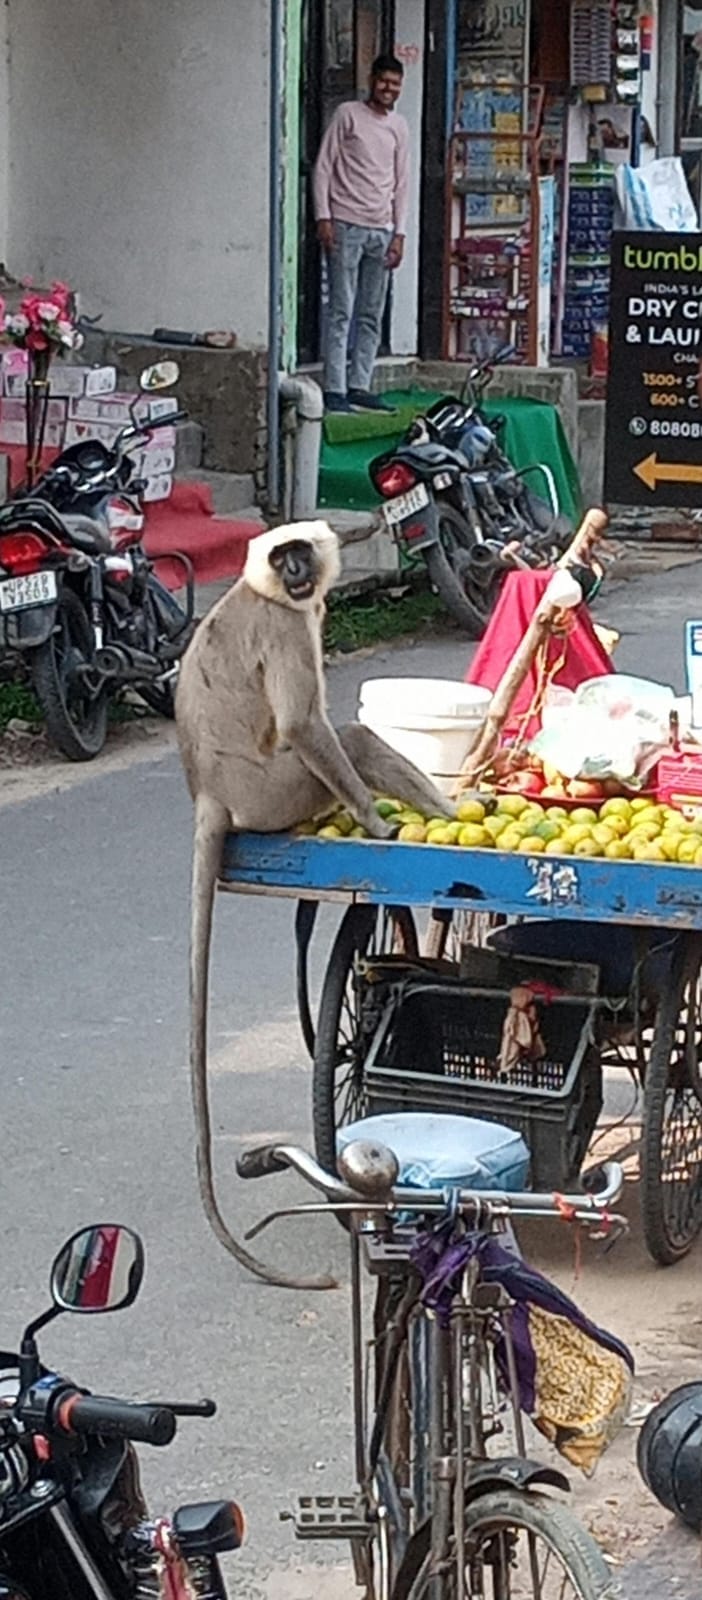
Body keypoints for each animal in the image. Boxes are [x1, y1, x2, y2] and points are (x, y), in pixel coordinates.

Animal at [176, 520, 455, 1289]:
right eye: (283, 558)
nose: (299, 571)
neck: (268, 593)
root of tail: (210, 793)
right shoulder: (284, 625)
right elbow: (305, 724)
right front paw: (379, 825)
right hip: (278, 793)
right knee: (345, 736)